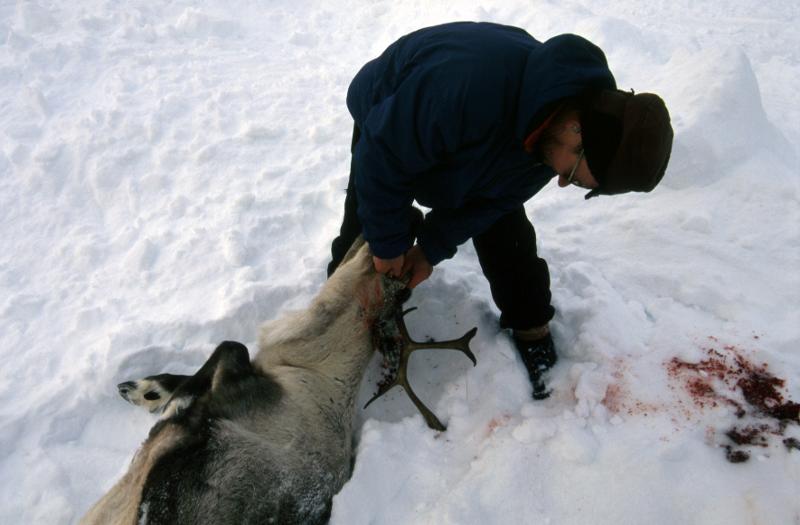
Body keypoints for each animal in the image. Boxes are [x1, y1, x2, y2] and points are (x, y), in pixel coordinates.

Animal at [81, 238, 476, 524]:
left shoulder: (240, 391)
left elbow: (227, 349)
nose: (417, 214)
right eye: (402, 281)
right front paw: (146, 390)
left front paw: (151, 394)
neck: (314, 365)